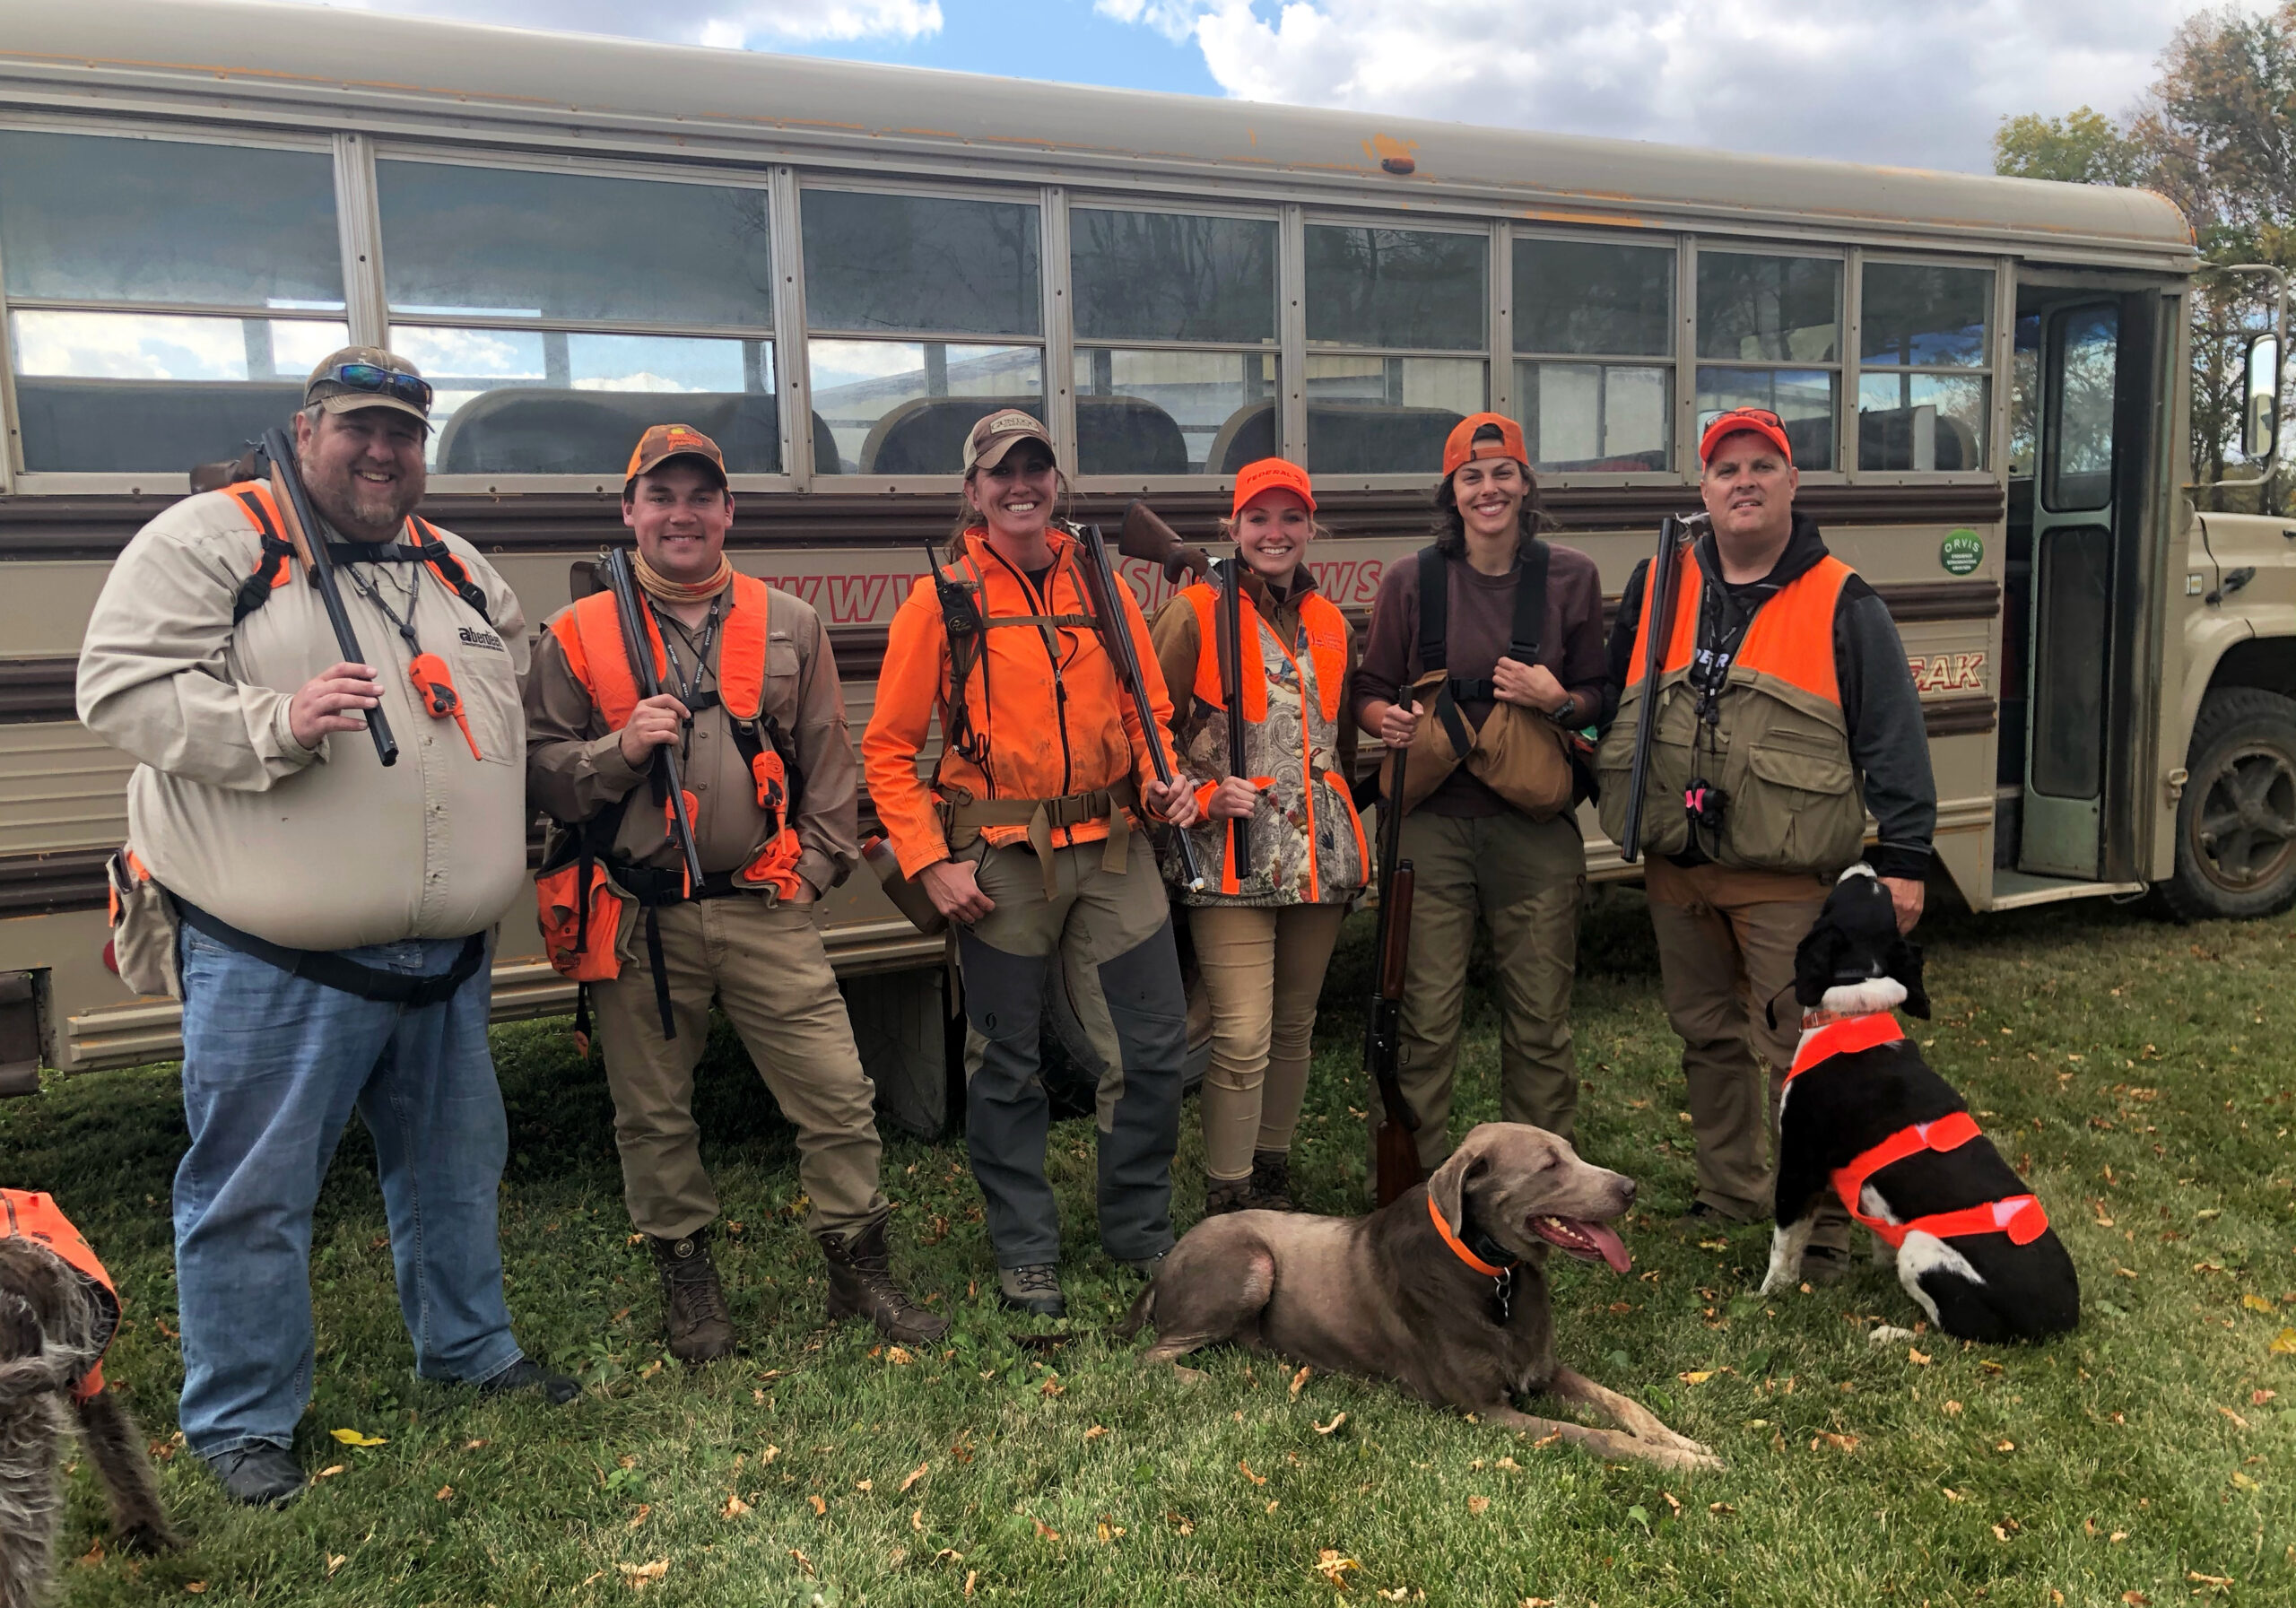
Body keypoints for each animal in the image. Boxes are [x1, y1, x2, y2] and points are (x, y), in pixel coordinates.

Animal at [1120, 1126, 1717, 1479]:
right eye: (1549, 1165)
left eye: (1572, 1153)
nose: (1630, 1187)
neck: (1493, 1275)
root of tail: (1167, 1263)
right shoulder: (1485, 1409)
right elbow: (1597, 1436)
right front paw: (1675, 1462)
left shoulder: (1542, 1370)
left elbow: (1622, 1404)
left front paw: (1685, 1445)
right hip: (1251, 1263)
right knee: (1147, 1357)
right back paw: (1199, 1378)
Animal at [1753, 868, 2084, 1341]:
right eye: (1884, 901)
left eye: (1843, 895)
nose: (1867, 867)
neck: (1855, 1010)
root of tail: (2061, 1318)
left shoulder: (1802, 1163)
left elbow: (1785, 1244)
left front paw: (1768, 1294)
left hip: (1922, 1252)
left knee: (1960, 1335)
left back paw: (1891, 1335)